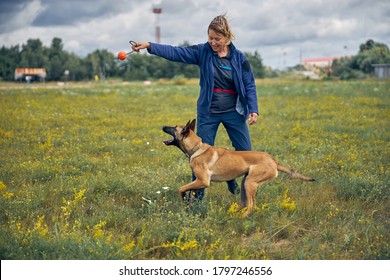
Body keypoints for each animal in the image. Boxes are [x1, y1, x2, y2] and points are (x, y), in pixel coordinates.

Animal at [163, 118, 316, 217]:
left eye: (174, 127)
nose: (163, 127)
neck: (196, 148)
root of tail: (272, 160)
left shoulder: (202, 181)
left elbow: (182, 188)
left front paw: (184, 200)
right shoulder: (198, 182)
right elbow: (190, 192)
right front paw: (189, 204)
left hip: (250, 183)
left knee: (252, 206)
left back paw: (241, 217)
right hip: (245, 182)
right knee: (246, 203)